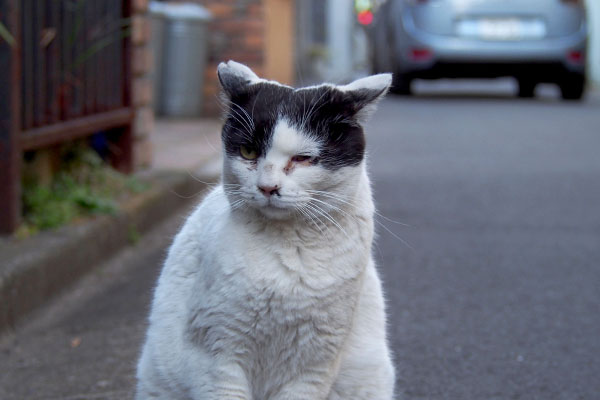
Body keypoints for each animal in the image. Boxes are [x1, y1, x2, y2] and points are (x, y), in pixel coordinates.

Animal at [138, 60, 396, 400]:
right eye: (248, 152)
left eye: (303, 159)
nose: (267, 187)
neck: (289, 251)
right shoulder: (218, 357)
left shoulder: (313, 366)